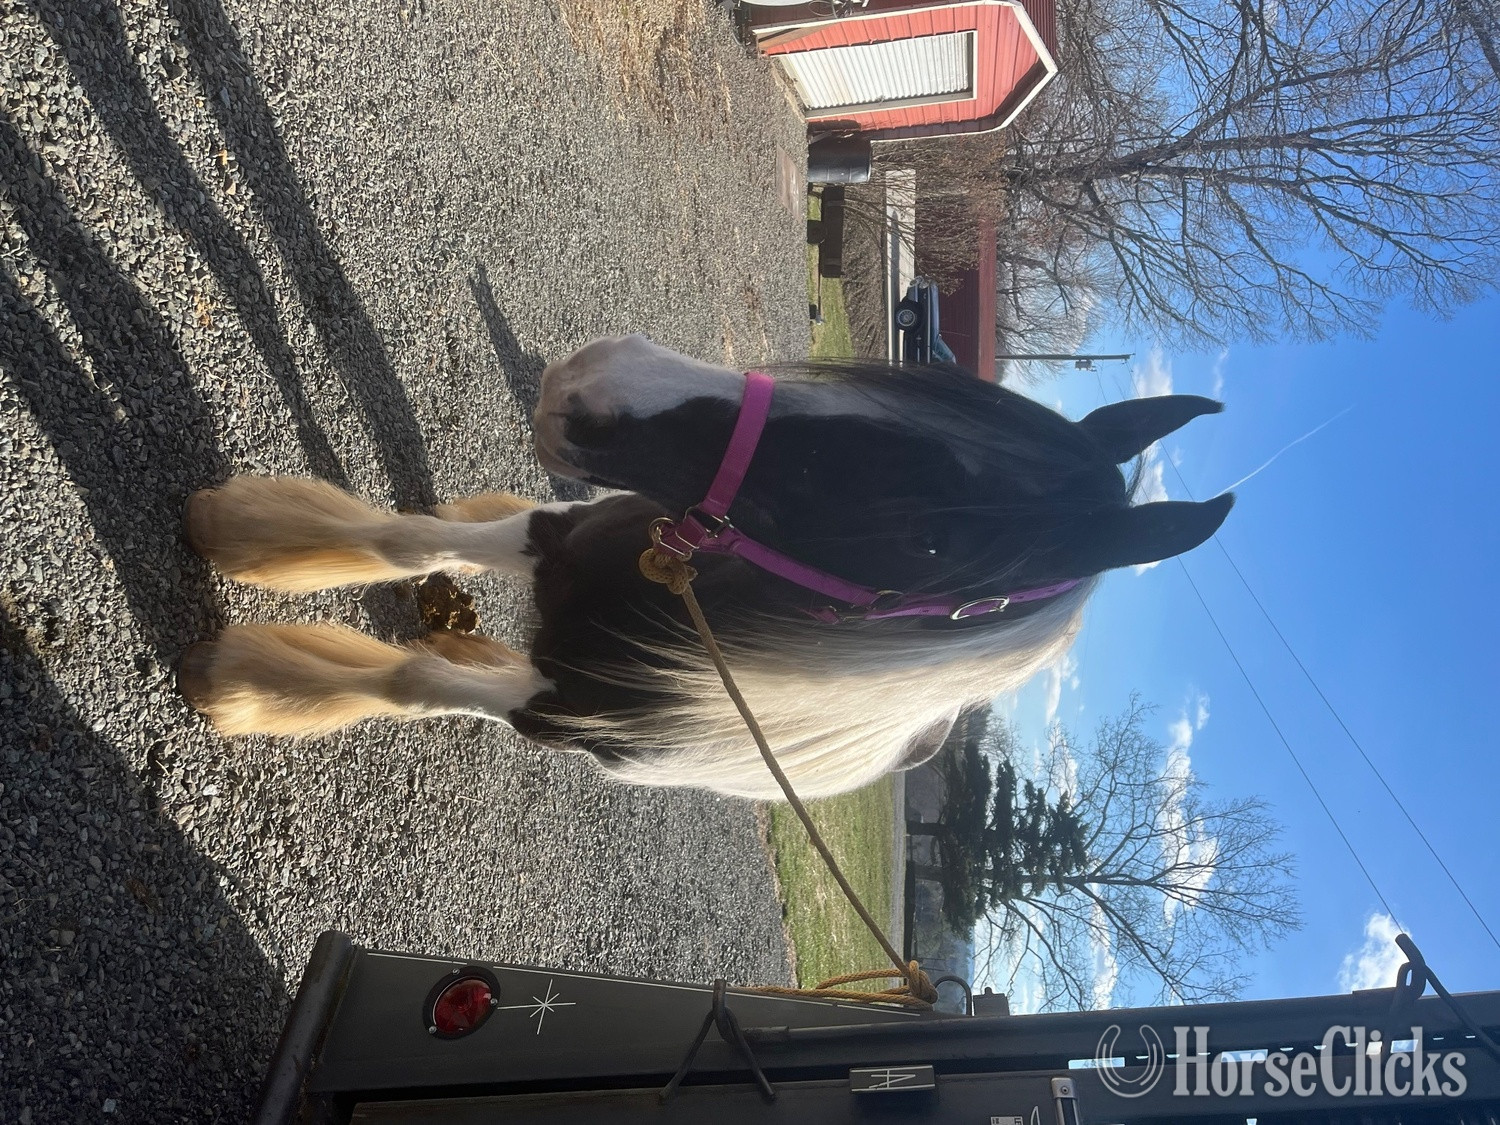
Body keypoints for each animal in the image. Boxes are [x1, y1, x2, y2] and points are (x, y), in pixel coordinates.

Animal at [177, 334, 1232, 799]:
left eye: (927, 539)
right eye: (929, 377)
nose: (588, 388)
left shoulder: (550, 708)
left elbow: (411, 684)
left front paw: (245, 688)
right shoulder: (559, 532)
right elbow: (408, 539)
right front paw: (245, 531)